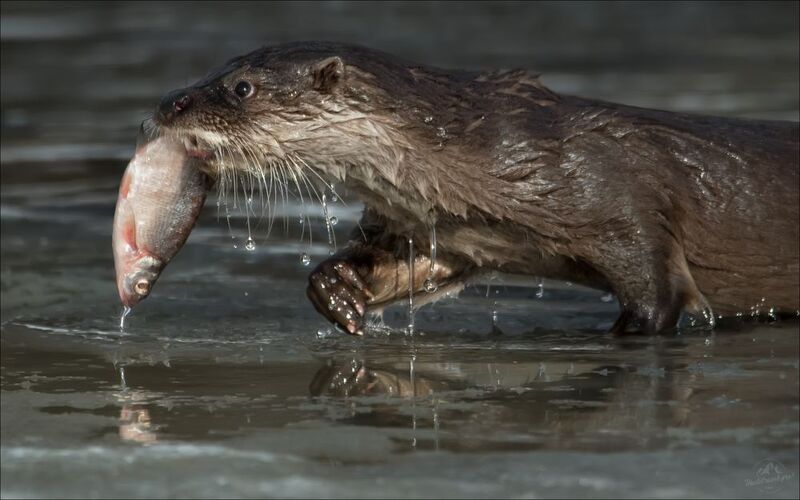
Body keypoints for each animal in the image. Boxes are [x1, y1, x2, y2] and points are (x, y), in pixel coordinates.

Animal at [152, 41, 799, 335]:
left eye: (241, 88)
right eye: (213, 70)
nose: (167, 103)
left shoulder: (625, 205)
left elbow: (657, 299)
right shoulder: (451, 226)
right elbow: (408, 266)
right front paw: (336, 288)